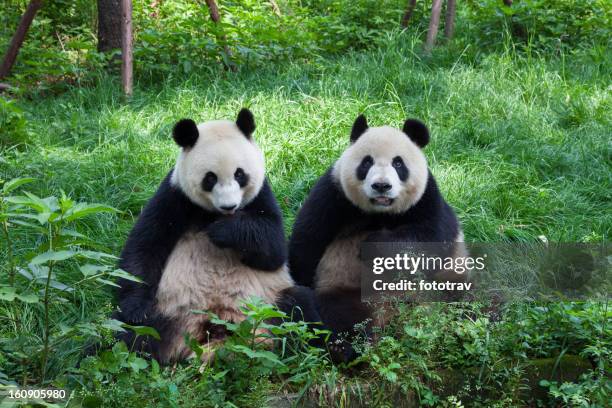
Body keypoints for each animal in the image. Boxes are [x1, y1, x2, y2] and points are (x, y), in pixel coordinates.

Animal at [114, 108, 320, 364]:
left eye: (240, 174)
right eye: (210, 178)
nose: (229, 206)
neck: (212, 213)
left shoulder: (261, 195)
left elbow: (274, 250)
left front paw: (223, 231)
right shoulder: (175, 195)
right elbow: (145, 246)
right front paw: (136, 309)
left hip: (268, 304)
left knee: (299, 310)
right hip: (168, 312)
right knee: (126, 333)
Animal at [290, 115, 466, 364]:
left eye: (398, 164)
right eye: (366, 163)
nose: (381, 185)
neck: (381, 212)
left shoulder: (427, 199)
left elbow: (430, 240)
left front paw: (373, 247)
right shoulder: (333, 193)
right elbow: (308, 239)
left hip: (446, 287)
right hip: (346, 289)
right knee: (343, 316)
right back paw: (344, 349)